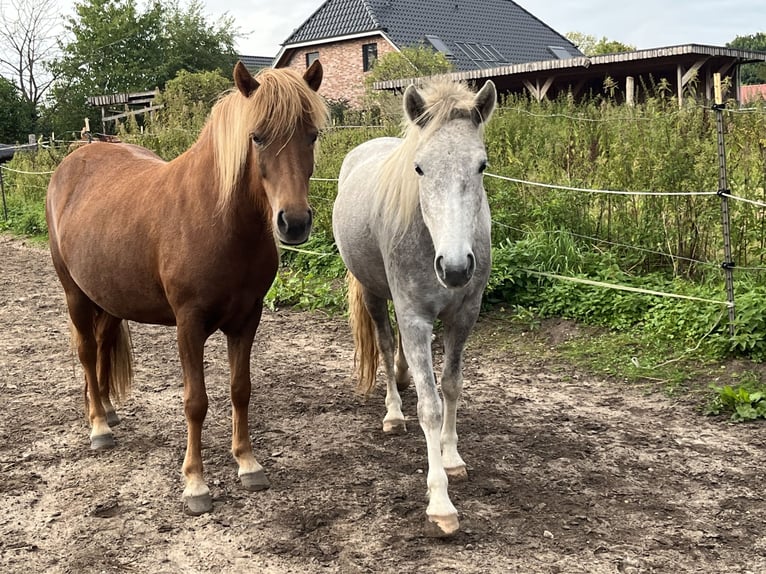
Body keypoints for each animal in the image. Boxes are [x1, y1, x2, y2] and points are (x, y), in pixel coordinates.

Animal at [45, 60, 328, 515]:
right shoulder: (188, 324)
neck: (217, 217)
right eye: (257, 136)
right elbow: (196, 402)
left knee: (103, 345)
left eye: (312, 134)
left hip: (108, 297)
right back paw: (99, 427)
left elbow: (240, 390)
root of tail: (77, 157)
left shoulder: (248, 319)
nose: (295, 222)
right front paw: (196, 483)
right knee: (87, 352)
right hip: (75, 294)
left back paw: (107, 409)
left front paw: (248, 463)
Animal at [332, 78, 497, 537]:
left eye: (481, 166)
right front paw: (440, 501)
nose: (456, 268)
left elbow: (452, 386)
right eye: (420, 168)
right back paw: (392, 411)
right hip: (374, 293)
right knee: (387, 347)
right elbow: (429, 406)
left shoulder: (464, 317)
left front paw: (452, 458)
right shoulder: (415, 319)